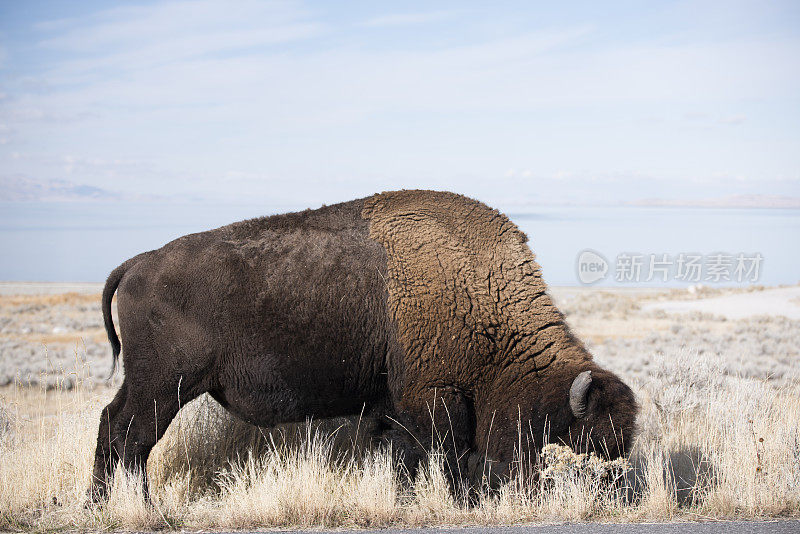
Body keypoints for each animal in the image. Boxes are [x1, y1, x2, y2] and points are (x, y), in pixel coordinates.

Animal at [89, 191, 636, 500]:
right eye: (585, 438)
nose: (613, 492)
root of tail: (137, 263)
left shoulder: (394, 405)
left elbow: (407, 455)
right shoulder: (436, 399)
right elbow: (448, 454)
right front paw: (462, 501)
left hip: (152, 385)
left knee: (113, 426)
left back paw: (102, 502)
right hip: (165, 386)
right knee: (131, 436)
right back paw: (139, 505)